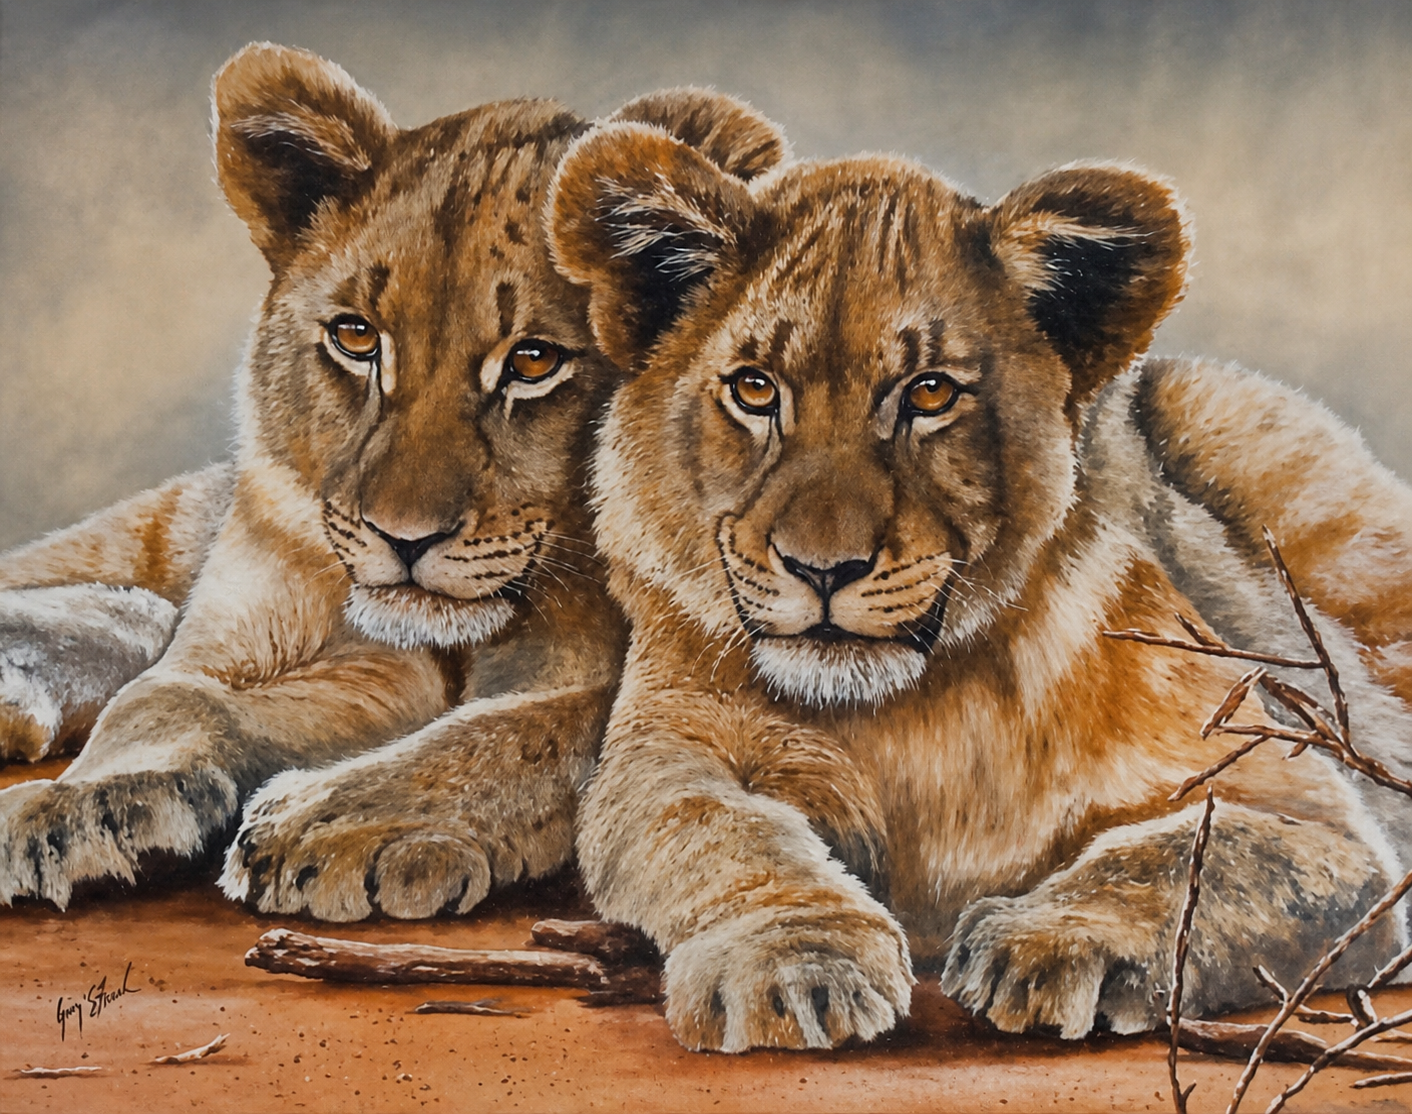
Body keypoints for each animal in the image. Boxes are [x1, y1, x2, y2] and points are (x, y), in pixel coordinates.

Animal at [0, 44, 788, 920]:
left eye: (534, 361)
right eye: (356, 338)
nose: (403, 538)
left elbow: (531, 725)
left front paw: (324, 824)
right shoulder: (283, 644)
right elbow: (164, 696)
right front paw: (72, 805)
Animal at [547, 122, 1412, 1051]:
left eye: (929, 393)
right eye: (754, 388)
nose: (824, 569)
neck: (910, 716)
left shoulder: (1311, 816)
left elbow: (1178, 855)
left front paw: (1048, 943)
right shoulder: (663, 754)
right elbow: (721, 833)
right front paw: (795, 960)